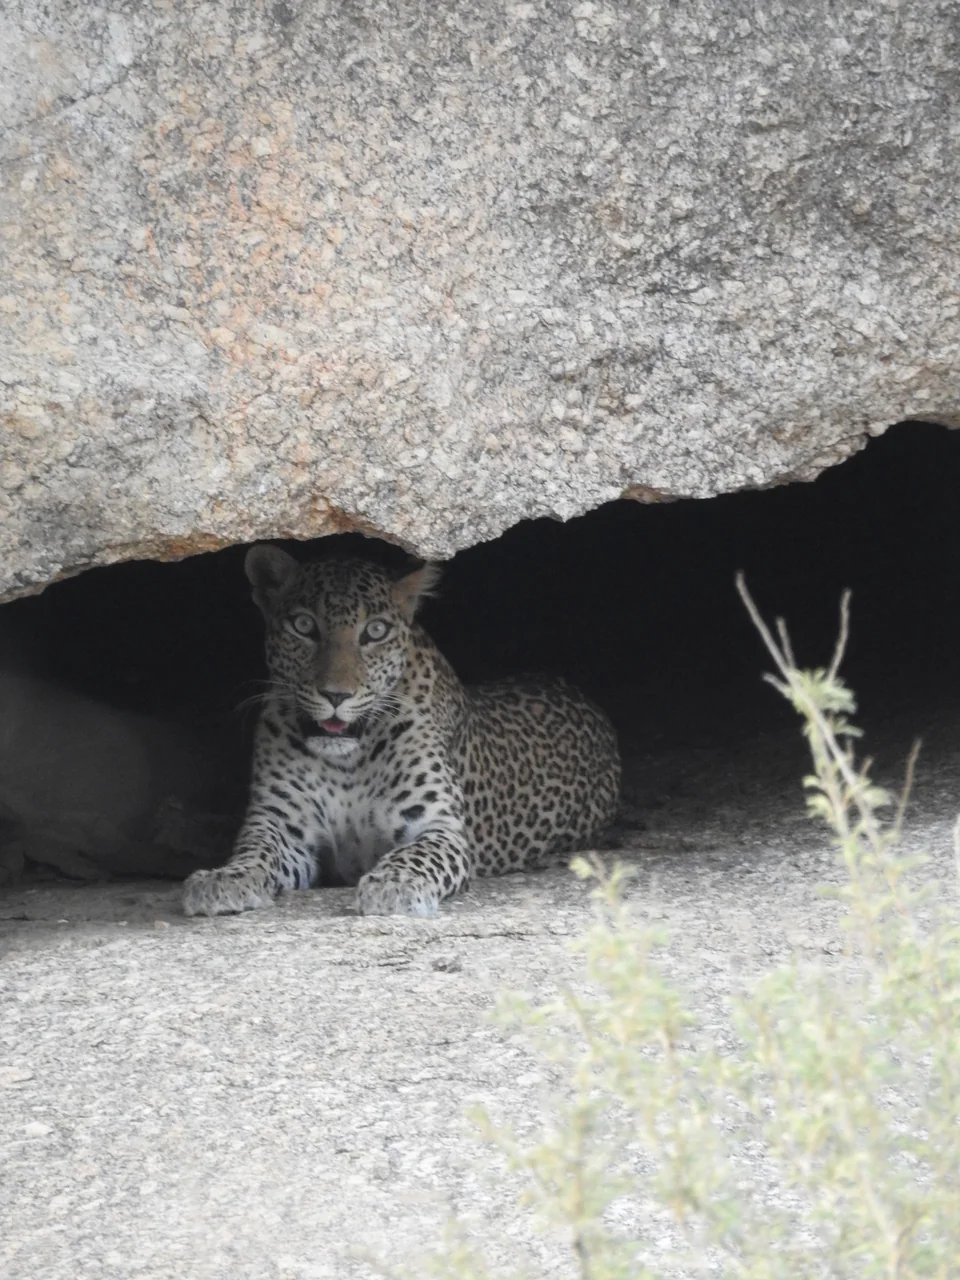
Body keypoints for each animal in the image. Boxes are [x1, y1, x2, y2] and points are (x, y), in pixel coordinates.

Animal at [182, 546, 620, 918]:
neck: (348, 760)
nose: (336, 695)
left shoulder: (439, 828)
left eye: (374, 632)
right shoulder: (280, 824)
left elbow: (416, 857)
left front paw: (393, 883)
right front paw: (223, 878)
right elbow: (255, 852)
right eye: (304, 626)